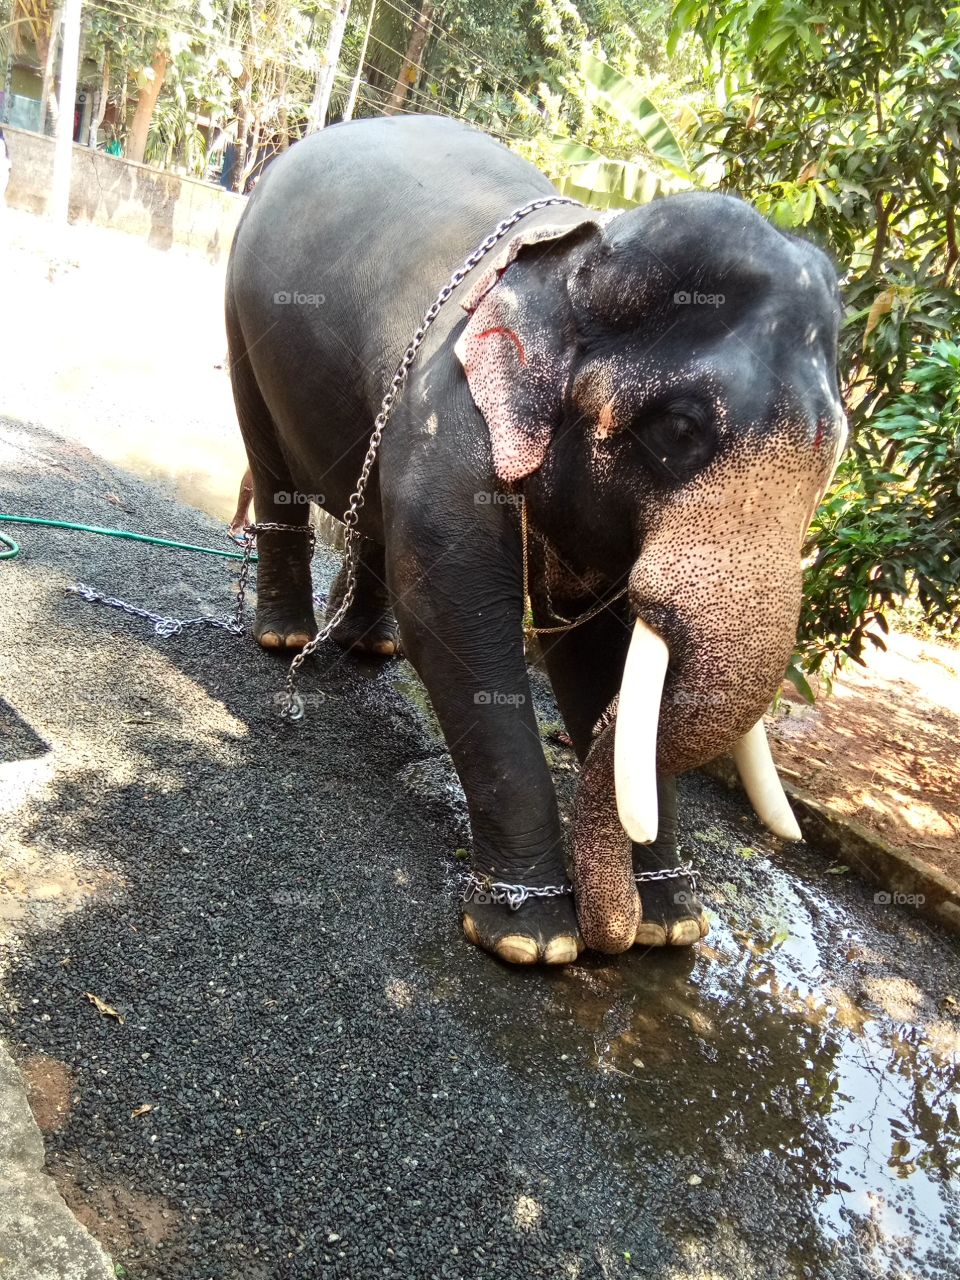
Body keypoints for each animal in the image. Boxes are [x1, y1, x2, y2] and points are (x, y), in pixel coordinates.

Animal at [224, 114, 846, 966]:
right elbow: (458, 622)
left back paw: (369, 646)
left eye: (833, 457)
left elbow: (601, 652)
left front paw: (670, 926)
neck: (585, 261)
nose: (613, 937)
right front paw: (535, 942)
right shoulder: (452, 419)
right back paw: (287, 639)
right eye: (680, 431)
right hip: (239, 308)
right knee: (271, 467)